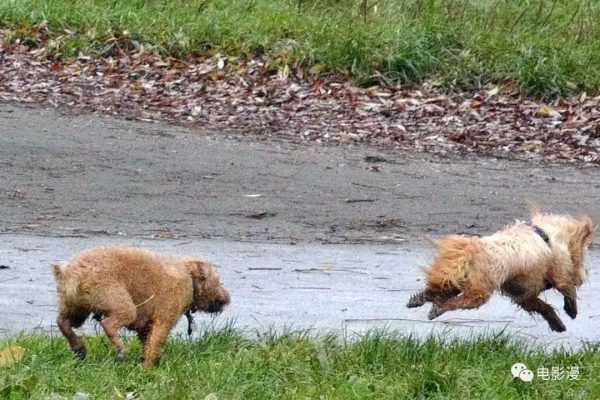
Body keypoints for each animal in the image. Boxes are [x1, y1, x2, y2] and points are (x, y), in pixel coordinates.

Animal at [52, 245, 231, 368]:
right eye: (218, 281)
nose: (227, 298)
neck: (189, 276)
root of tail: (72, 273)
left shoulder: (146, 326)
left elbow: (147, 342)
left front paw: (153, 360)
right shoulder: (164, 318)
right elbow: (156, 341)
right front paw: (147, 367)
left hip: (76, 307)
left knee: (63, 322)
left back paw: (78, 347)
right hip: (120, 302)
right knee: (108, 324)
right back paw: (120, 349)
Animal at [406, 209, 592, 332]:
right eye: (582, 254)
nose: (583, 277)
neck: (546, 234)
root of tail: (473, 249)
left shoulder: (523, 294)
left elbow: (543, 307)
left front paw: (557, 323)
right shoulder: (558, 272)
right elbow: (567, 289)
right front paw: (571, 310)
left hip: (456, 278)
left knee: (438, 291)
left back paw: (418, 299)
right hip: (479, 291)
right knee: (457, 301)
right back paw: (436, 309)